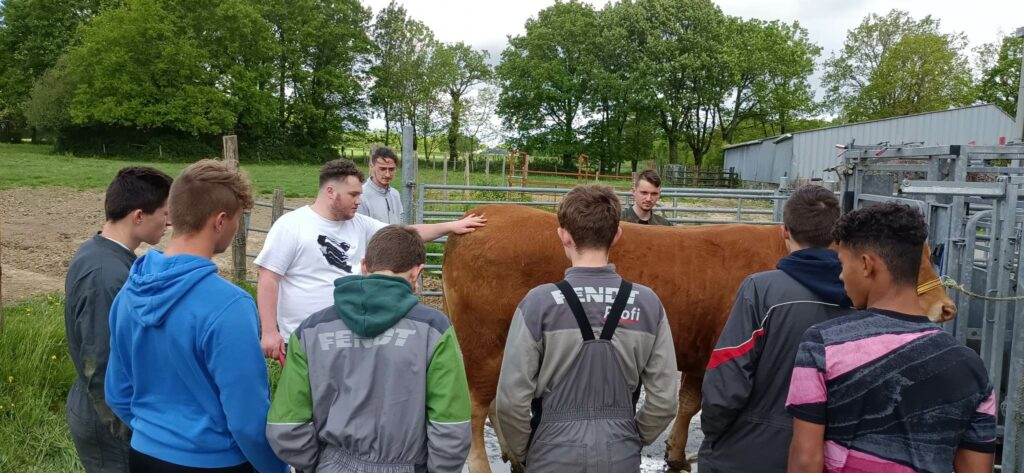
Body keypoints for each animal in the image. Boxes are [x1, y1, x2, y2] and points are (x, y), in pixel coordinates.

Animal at [444, 203, 954, 473]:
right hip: (483, 343)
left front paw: (674, 453)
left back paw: (516, 453)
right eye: (916, 256)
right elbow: (704, 405)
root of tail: (491, 211)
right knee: (477, 405)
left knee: (496, 401)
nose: (946, 308)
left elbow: (688, 403)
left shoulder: (698, 351)